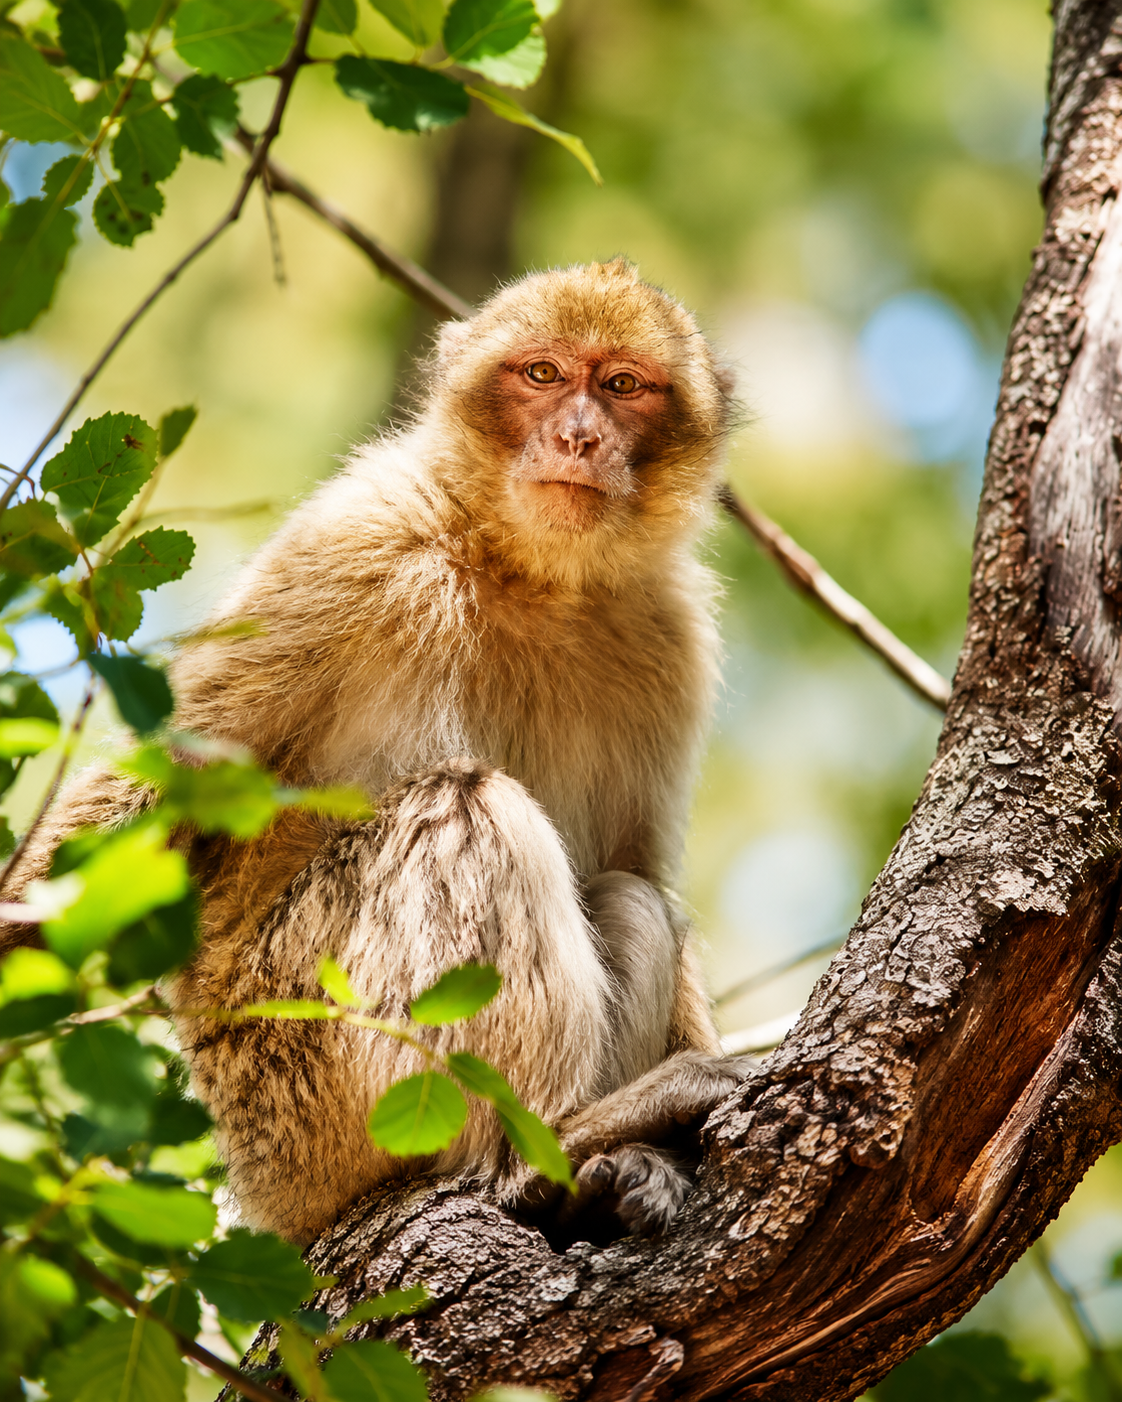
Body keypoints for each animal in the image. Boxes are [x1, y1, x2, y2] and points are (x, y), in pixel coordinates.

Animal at [2, 259, 750, 1246]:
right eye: (543, 374)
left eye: (623, 385)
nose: (579, 435)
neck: (526, 572)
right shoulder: (357, 539)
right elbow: (166, 786)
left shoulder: (668, 636)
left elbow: (638, 866)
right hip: (300, 1080)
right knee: (468, 803)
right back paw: (541, 1153)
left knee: (625, 894)